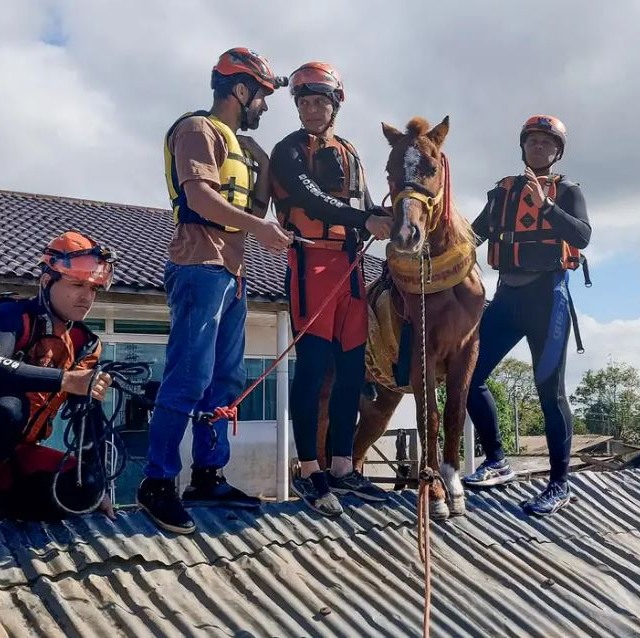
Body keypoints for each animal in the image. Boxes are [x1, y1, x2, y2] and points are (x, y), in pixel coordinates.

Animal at [320, 117, 484, 524]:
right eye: (390, 171)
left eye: (432, 166)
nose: (407, 235)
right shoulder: (422, 354)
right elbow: (430, 419)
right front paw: (435, 493)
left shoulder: (467, 351)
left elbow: (454, 413)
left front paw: (454, 487)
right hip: (329, 383)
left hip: (380, 402)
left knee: (358, 445)